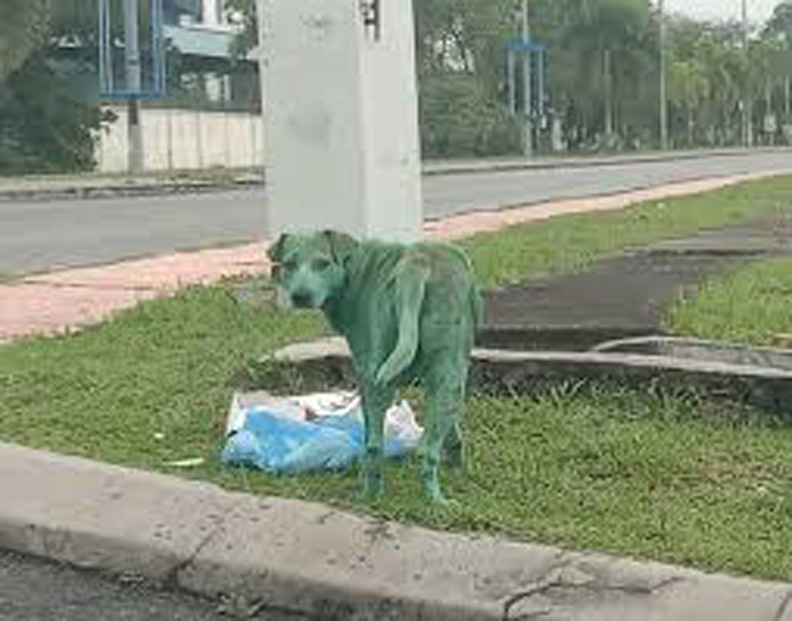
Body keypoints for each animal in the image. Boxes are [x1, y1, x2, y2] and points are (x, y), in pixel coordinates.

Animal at [270, 230, 482, 502]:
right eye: (289, 265)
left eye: (322, 263)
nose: (300, 296)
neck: (353, 267)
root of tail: (416, 264)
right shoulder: (445, 379)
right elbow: (453, 423)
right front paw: (455, 462)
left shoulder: (364, 376)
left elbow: (368, 430)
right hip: (447, 369)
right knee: (425, 447)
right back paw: (435, 499)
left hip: (377, 379)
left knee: (374, 446)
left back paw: (370, 494)